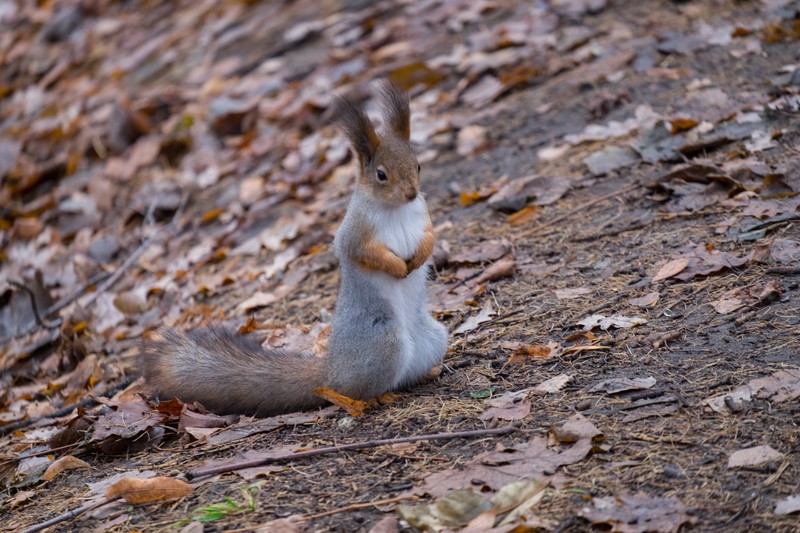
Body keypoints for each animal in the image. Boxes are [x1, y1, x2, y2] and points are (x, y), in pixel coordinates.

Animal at [140, 82, 446, 416]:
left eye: (418, 165)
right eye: (381, 174)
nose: (411, 193)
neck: (395, 209)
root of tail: (331, 372)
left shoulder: (422, 216)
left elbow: (430, 237)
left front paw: (420, 256)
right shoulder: (354, 233)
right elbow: (363, 253)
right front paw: (397, 267)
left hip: (435, 336)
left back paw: (430, 372)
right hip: (383, 345)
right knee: (356, 391)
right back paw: (377, 397)